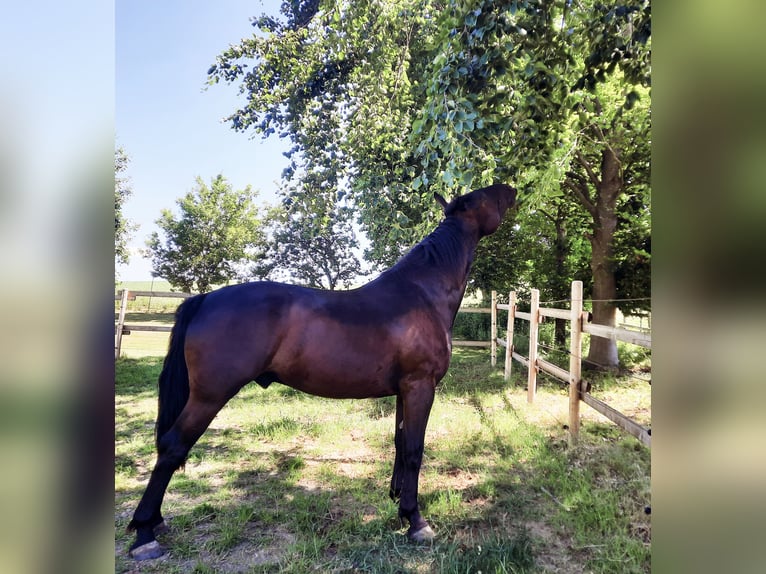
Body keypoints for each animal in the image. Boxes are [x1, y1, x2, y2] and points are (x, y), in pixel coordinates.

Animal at [127, 183, 517, 559]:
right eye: (482, 196)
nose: (510, 189)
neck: (422, 294)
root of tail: (204, 299)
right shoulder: (421, 386)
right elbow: (414, 450)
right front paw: (416, 521)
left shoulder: (404, 390)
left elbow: (399, 442)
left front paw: (397, 502)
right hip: (209, 396)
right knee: (172, 446)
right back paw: (145, 533)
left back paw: (154, 522)